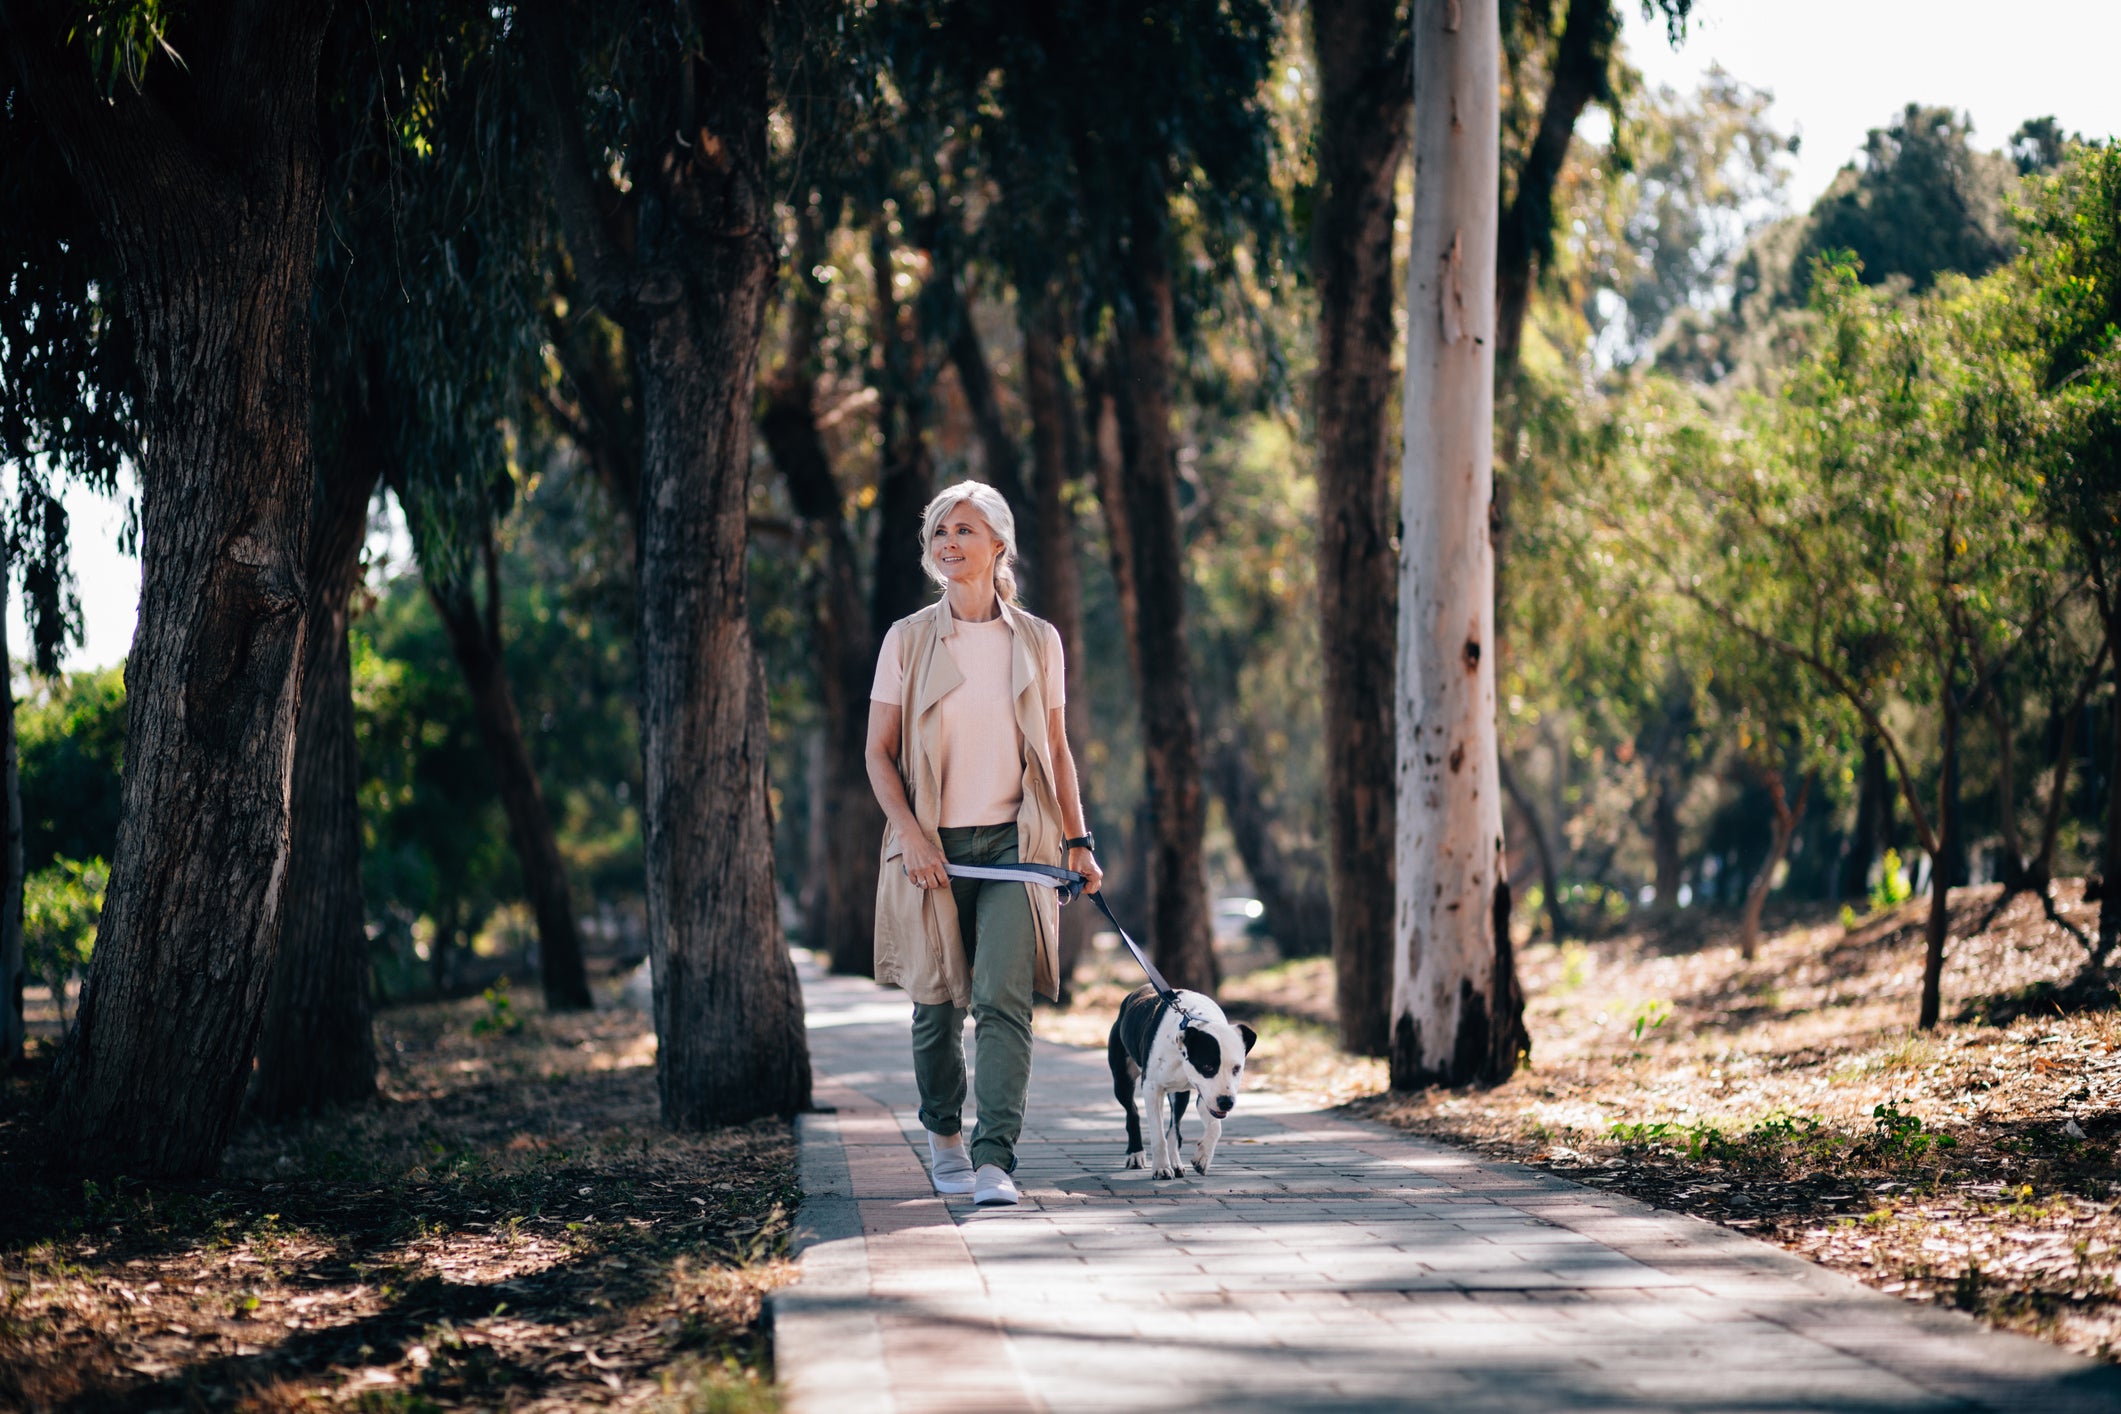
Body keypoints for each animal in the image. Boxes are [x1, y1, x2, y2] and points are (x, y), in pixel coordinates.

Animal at [1102, 992, 1247, 1178]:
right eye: (1207, 1066)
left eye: (1237, 1068)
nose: (1226, 1102)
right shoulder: (1152, 1089)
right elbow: (1158, 1135)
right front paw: (1161, 1167)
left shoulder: (1205, 1095)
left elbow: (1214, 1127)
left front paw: (1203, 1157)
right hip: (1122, 1081)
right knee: (1132, 1111)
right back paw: (1135, 1153)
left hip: (1180, 1095)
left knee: (1174, 1128)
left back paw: (1176, 1163)